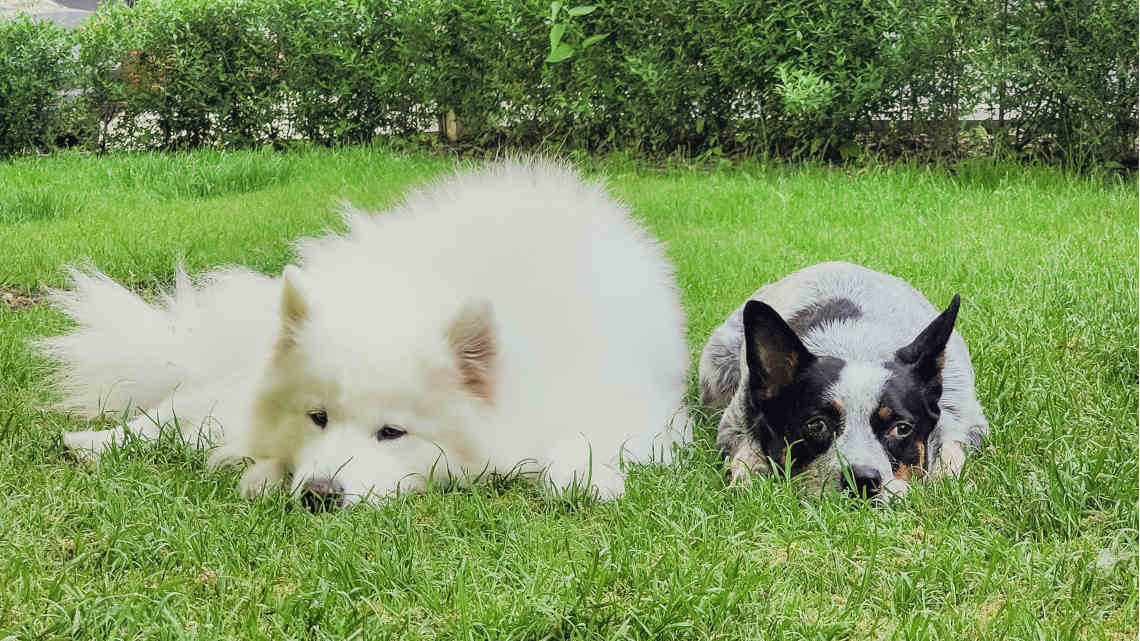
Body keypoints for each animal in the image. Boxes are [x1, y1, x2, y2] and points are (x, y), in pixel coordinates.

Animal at [40, 159, 688, 504]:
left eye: (393, 432)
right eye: (318, 417)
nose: (320, 494)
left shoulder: (630, 401)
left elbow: (581, 438)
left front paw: (582, 475)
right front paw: (264, 472)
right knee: (179, 411)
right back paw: (91, 442)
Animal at [693, 260, 989, 499]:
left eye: (902, 428)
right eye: (816, 424)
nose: (862, 480)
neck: (857, 345)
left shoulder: (966, 420)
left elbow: (951, 453)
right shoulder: (735, 420)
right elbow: (745, 454)